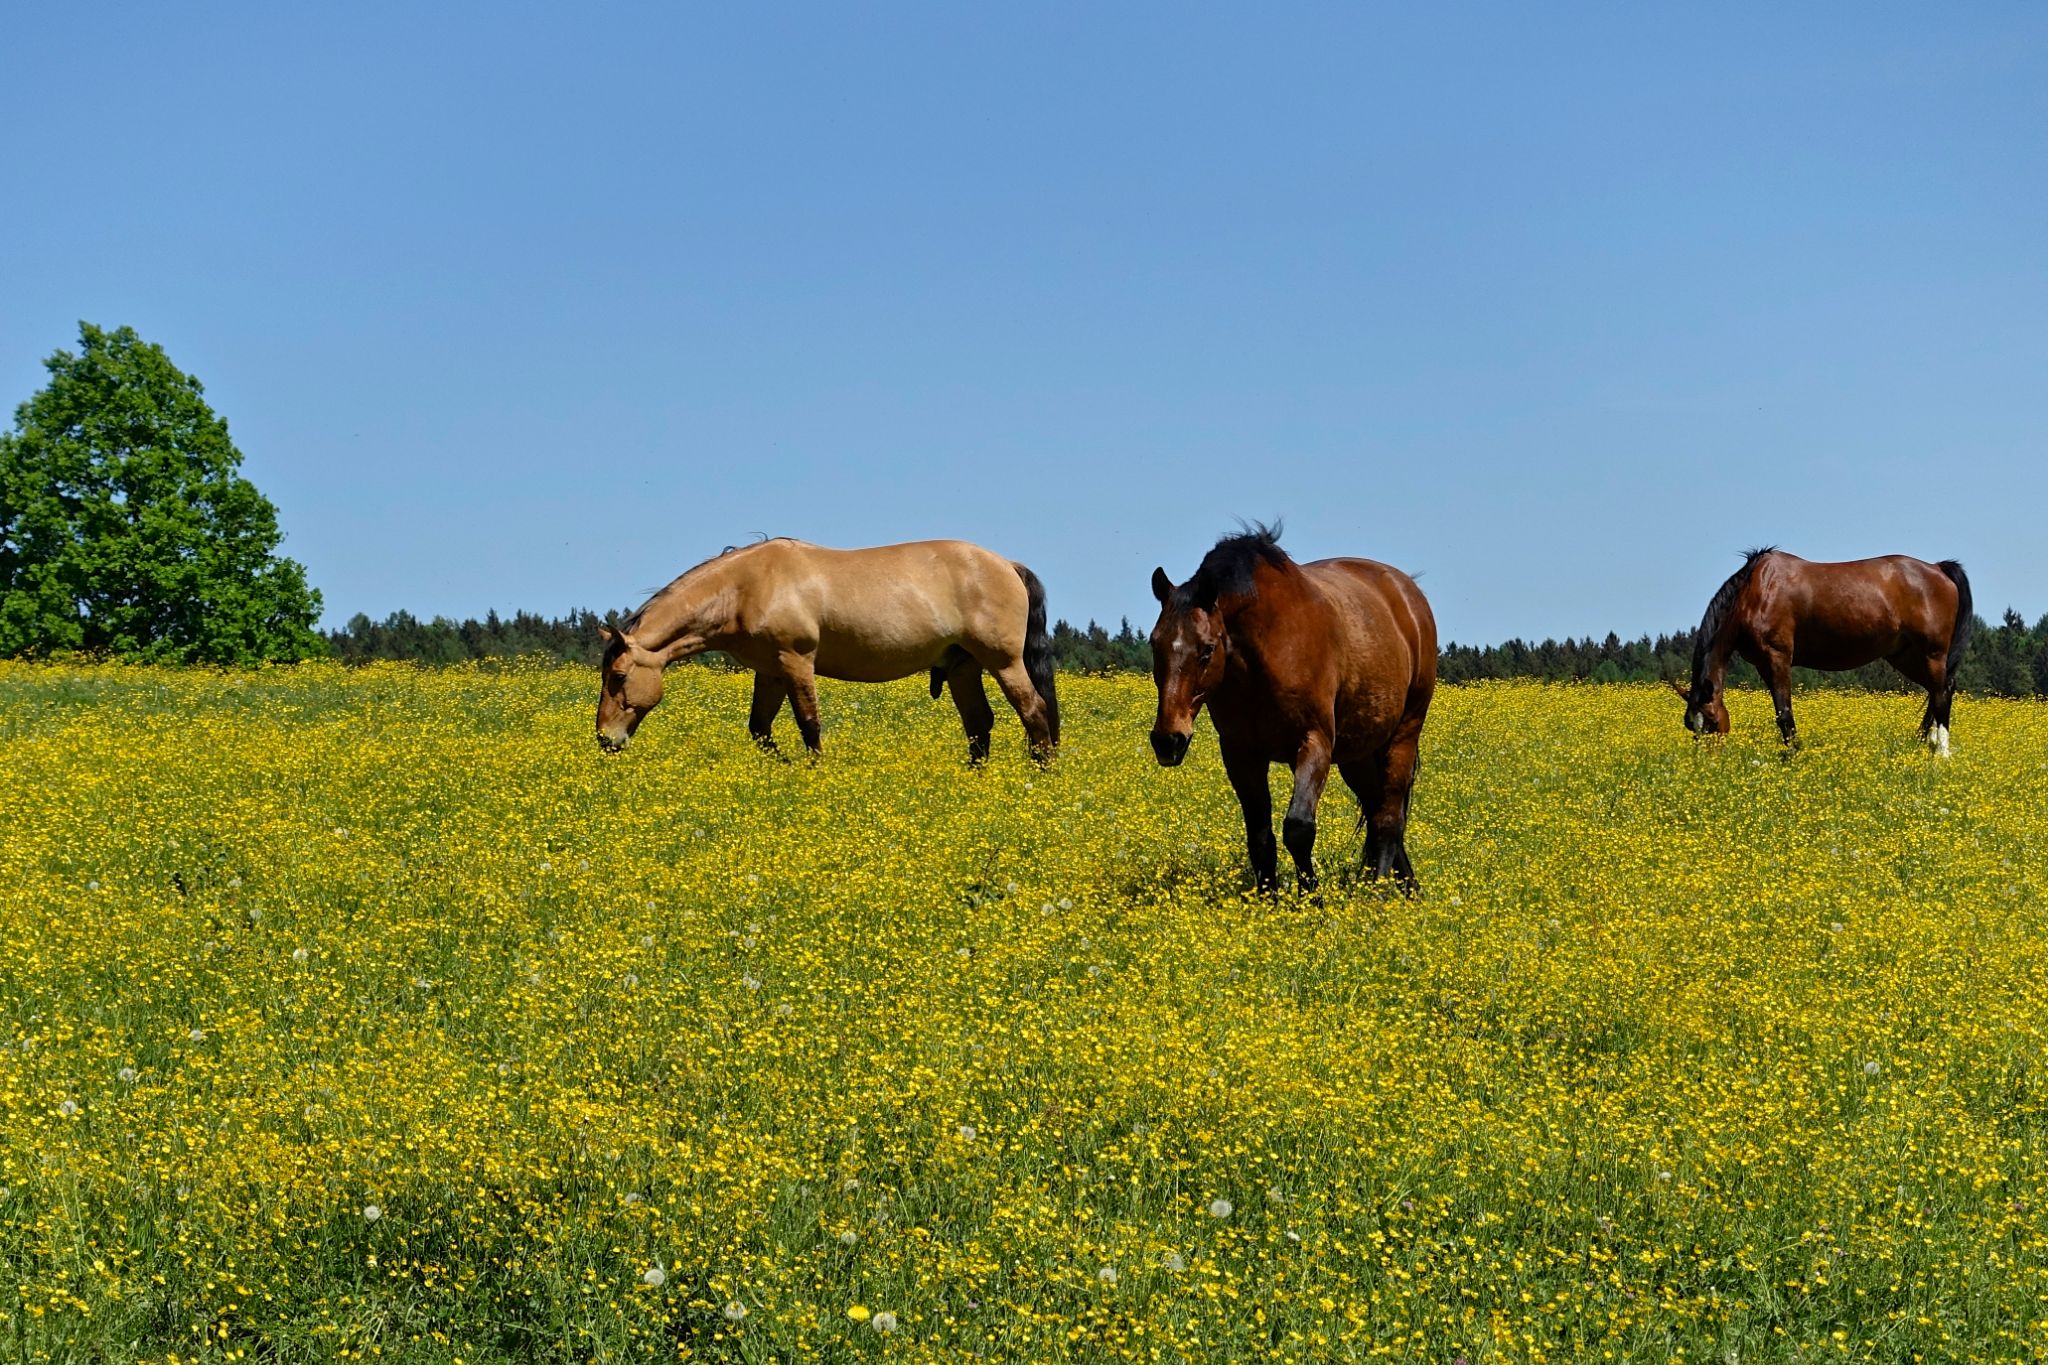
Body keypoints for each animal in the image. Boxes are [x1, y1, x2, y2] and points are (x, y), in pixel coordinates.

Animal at [595, 538, 1059, 761]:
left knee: (1034, 713)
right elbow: (760, 730)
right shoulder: (771, 671)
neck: (745, 587)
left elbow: (809, 725)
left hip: (1003, 662)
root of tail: (1007, 564)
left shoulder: (796, 661)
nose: (605, 739)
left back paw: (1040, 774)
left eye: (618, 676)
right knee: (979, 726)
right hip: (964, 668)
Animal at [1148, 524, 1437, 896]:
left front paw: (1311, 899)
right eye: (1154, 643)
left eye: (1207, 649)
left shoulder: (1314, 743)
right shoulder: (1241, 754)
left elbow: (1298, 829)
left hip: (1404, 735)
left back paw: (1377, 893)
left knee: (1388, 819)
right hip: (1359, 754)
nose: (1167, 740)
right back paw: (1409, 890)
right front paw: (1266, 900)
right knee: (1377, 811)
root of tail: (1408, 593)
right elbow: (1260, 837)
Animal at [1674, 548, 1973, 754]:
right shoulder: (1763, 664)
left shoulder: (1777, 658)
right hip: (1905, 656)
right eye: (1691, 726)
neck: (1756, 591)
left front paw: (1793, 756)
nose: (1710, 762)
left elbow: (1784, 712)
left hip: (1931, 653)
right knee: (1937, 691)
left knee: (1943, 691)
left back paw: (1941, 752)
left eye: (1712, 721)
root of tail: (1938, 569)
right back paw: (1924, 741)